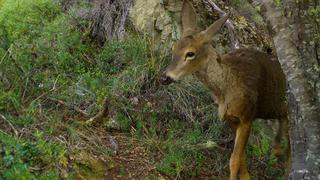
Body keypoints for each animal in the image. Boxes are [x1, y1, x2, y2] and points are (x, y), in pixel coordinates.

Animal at [160, 0, 290, 179]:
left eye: (190, 53)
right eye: (173, 48)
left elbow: (234, 159)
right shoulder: (230, 119)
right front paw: (247, 177)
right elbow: (241, 157)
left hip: (279, 105)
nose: (165, 78)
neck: (225, 91)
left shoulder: (247, 115)